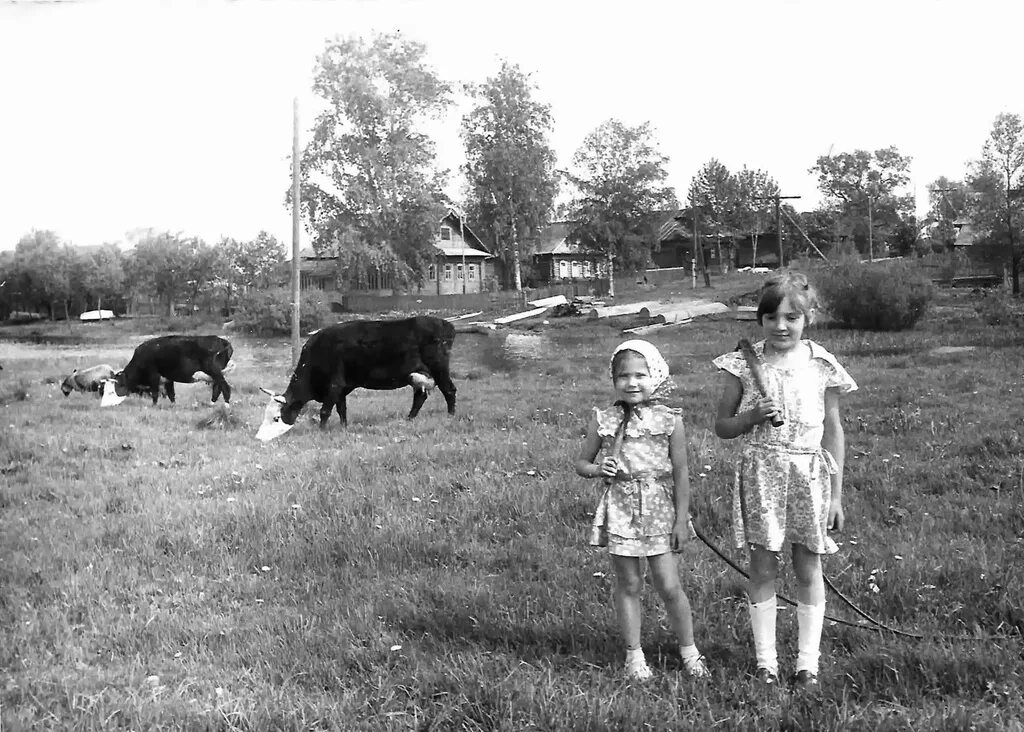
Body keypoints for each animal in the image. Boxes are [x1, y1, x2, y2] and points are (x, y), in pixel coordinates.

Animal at [101, 335, 234, 409]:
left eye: (111, 391)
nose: (104, 405)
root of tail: (222, 340)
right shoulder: (168, 378)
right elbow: (171, 394)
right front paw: (173, 406)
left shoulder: (154, 375)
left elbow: (155, 393)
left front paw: (154, 406)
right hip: (216, 374)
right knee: (217, 388)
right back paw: (211, 404)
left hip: (214, 371)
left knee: (225, 387)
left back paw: (226, 406)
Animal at [256, 315, 456, 440]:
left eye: (276, 417)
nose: (259, 437)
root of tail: (445, 324)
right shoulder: (342, 388)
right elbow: (341, 409)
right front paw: (344, 428)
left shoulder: (335, 385)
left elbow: (325, 411)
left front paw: (321, 431)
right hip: (418, 375)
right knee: (420, 396)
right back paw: (409, 419)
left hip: (439, 368)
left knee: (449, 390)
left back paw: (450, 417)